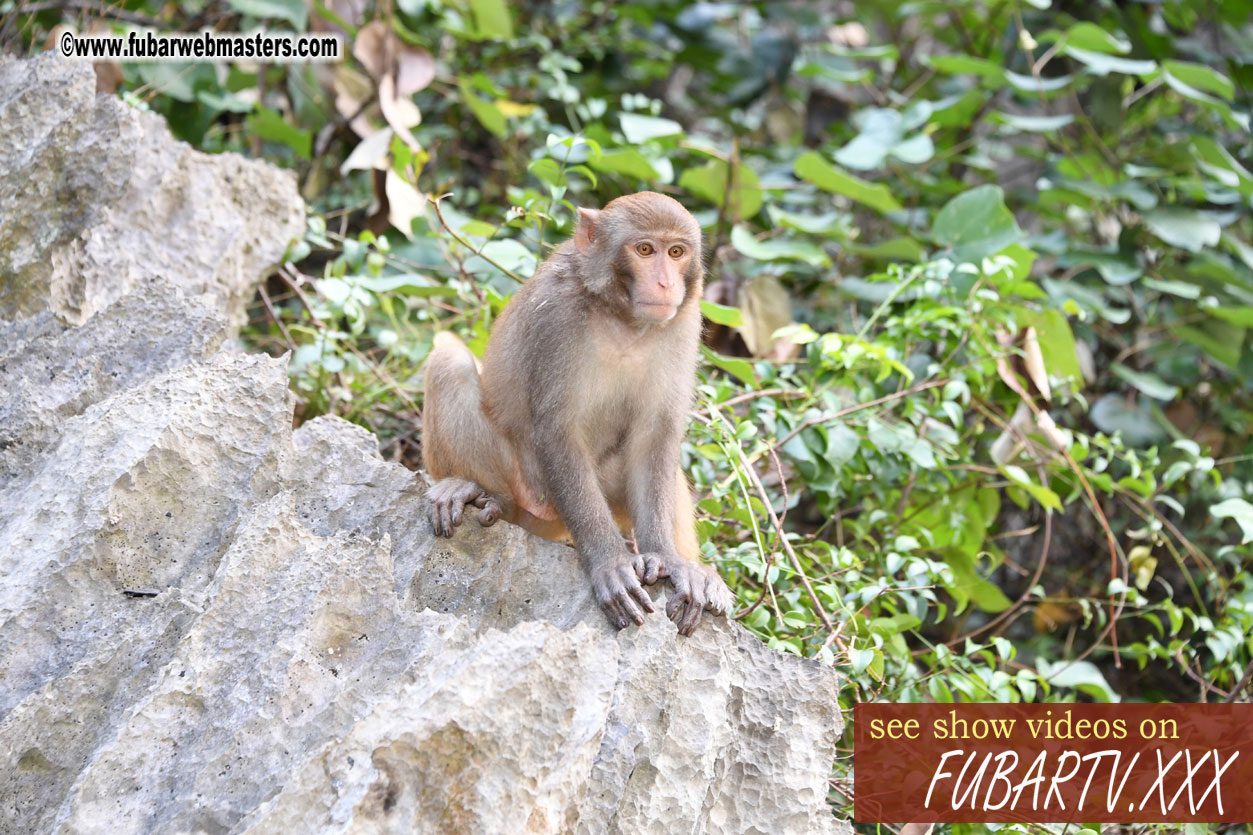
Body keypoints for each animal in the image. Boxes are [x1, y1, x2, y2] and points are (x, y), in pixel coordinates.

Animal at [421, 190, 731, 631]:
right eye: (644, 250)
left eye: (676, 252)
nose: (666, 283)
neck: (622, 319)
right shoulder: (557, 319)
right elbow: (558, 432)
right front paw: (609, 562)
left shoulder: (682, 325)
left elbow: (656, 437)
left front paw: (670, 560)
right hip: (530, 491)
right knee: (450, 361)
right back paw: (477, 492)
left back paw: (703, 576)